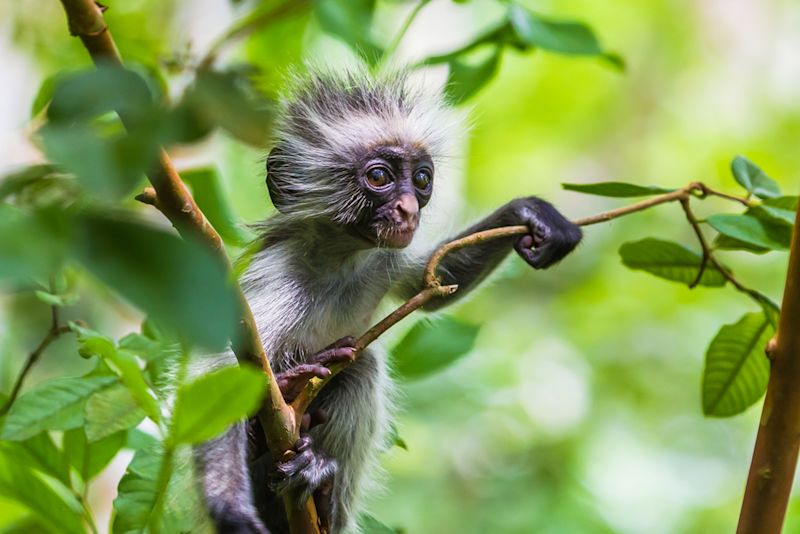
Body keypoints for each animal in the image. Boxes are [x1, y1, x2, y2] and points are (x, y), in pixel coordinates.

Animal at [194, 68, 580, 534]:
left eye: (422, 179)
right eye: (379, 177)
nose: (409, 209)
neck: (337, 261)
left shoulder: (382, 258)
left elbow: (429, 282)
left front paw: (530, 214)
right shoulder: (278, 275)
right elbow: (217, 370)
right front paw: (228, 506)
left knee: (360, 367)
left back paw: (319, 488)